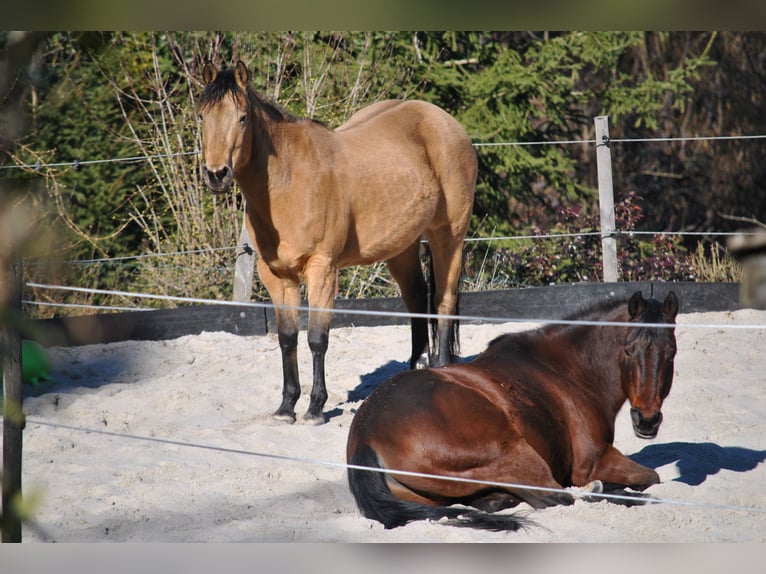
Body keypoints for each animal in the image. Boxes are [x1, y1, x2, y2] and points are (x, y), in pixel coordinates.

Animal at [197, 61, 477, 424]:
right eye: (202, 116)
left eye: (242, 117)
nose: (217, 174)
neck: (289, 182)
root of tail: (444, 121)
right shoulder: (277, 276)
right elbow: (287, 339)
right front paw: (286, 406)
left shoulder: (322, 270)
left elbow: (317, 338)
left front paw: (316, 407)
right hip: (402, 246)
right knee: (416, 298)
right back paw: (414, 369)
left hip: (448, 236)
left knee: (443, 300)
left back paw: (440, 367)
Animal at [346, 290, 679, 530]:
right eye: (628, 350)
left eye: (671, 352)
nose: (647, 420)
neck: (566, 370)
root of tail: (365, 439)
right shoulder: (595, 459)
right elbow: (651, 476)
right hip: (517, 452)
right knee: (557, 495)